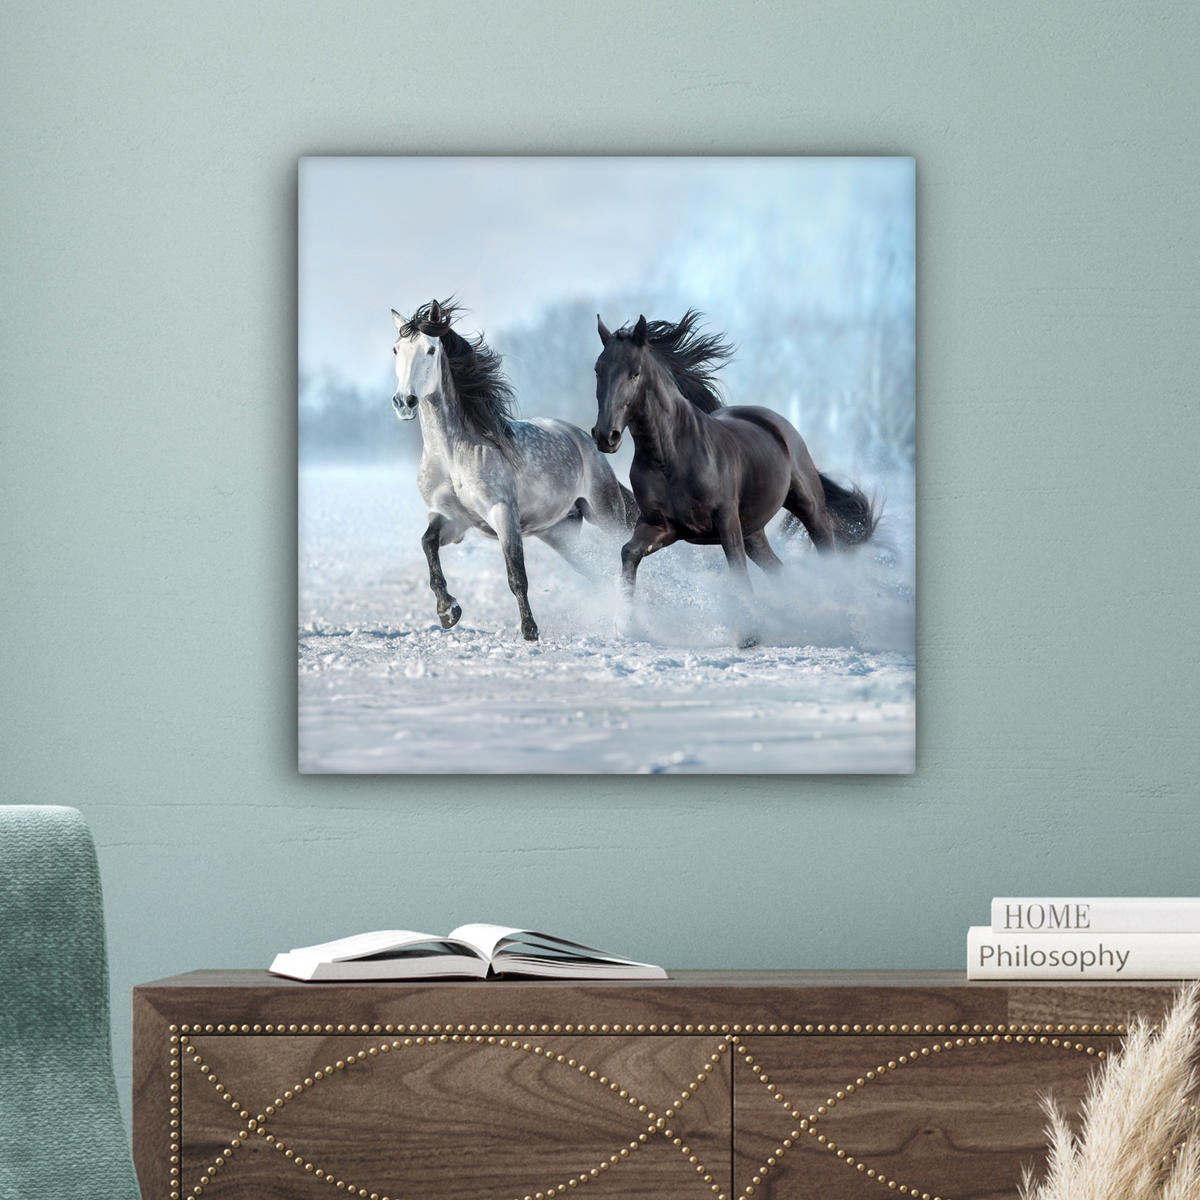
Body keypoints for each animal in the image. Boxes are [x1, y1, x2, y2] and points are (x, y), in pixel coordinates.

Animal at [392, 299, 637, 642]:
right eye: (396, 349)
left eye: (429, 349)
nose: (404, 402)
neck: (452, 455)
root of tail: (583, 440)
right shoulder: (451, 520)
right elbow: (427, 544)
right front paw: (448, 611)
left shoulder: (503, 513)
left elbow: (516, 575)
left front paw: (530, 631)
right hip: (560, 532)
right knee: (596, 570)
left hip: (606, 514)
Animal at [591, 310, 877, 647]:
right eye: (598, 370)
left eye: (635, 373)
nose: (605, 436)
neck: (670, 456)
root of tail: (777, 423)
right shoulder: (661, 525)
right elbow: (629, 553)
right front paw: (628, 625)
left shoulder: (726, 521)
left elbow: (737, 571)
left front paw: (749, 635)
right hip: (754, 531)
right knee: (778, 570)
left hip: (809, 508)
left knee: (826, 551)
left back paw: (839, 625)